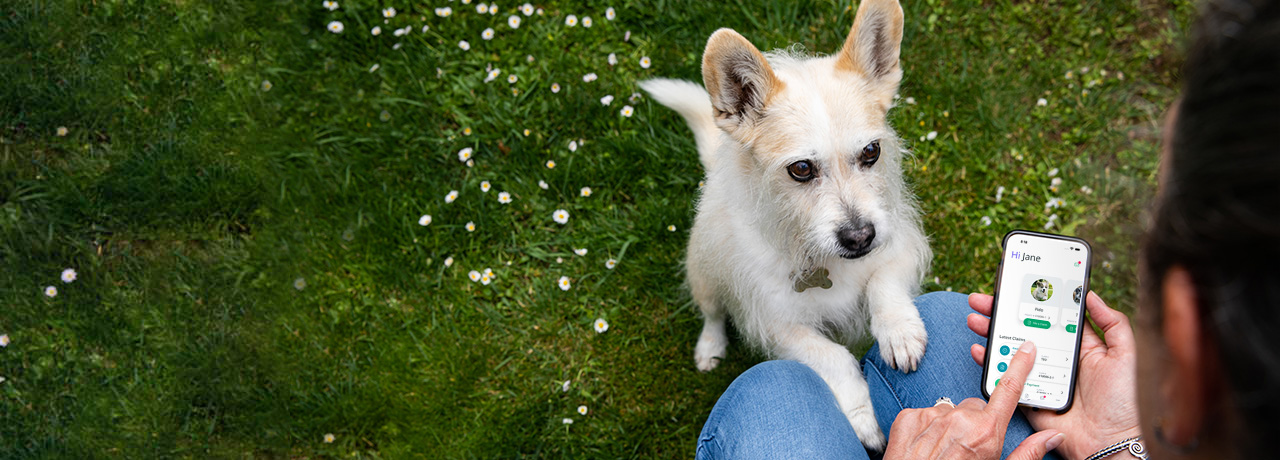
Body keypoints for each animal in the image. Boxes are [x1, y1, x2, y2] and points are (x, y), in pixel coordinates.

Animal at [640, 0, 931, 448]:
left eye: (871, 151)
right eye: (801, 169)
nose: (859, 238)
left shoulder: (898, 247)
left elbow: (884, 282)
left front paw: (899, 332)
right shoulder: (778, 324)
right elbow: (833, 357)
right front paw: (864, 417)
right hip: (704, 276)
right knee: (712, 314)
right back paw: (710, 347)